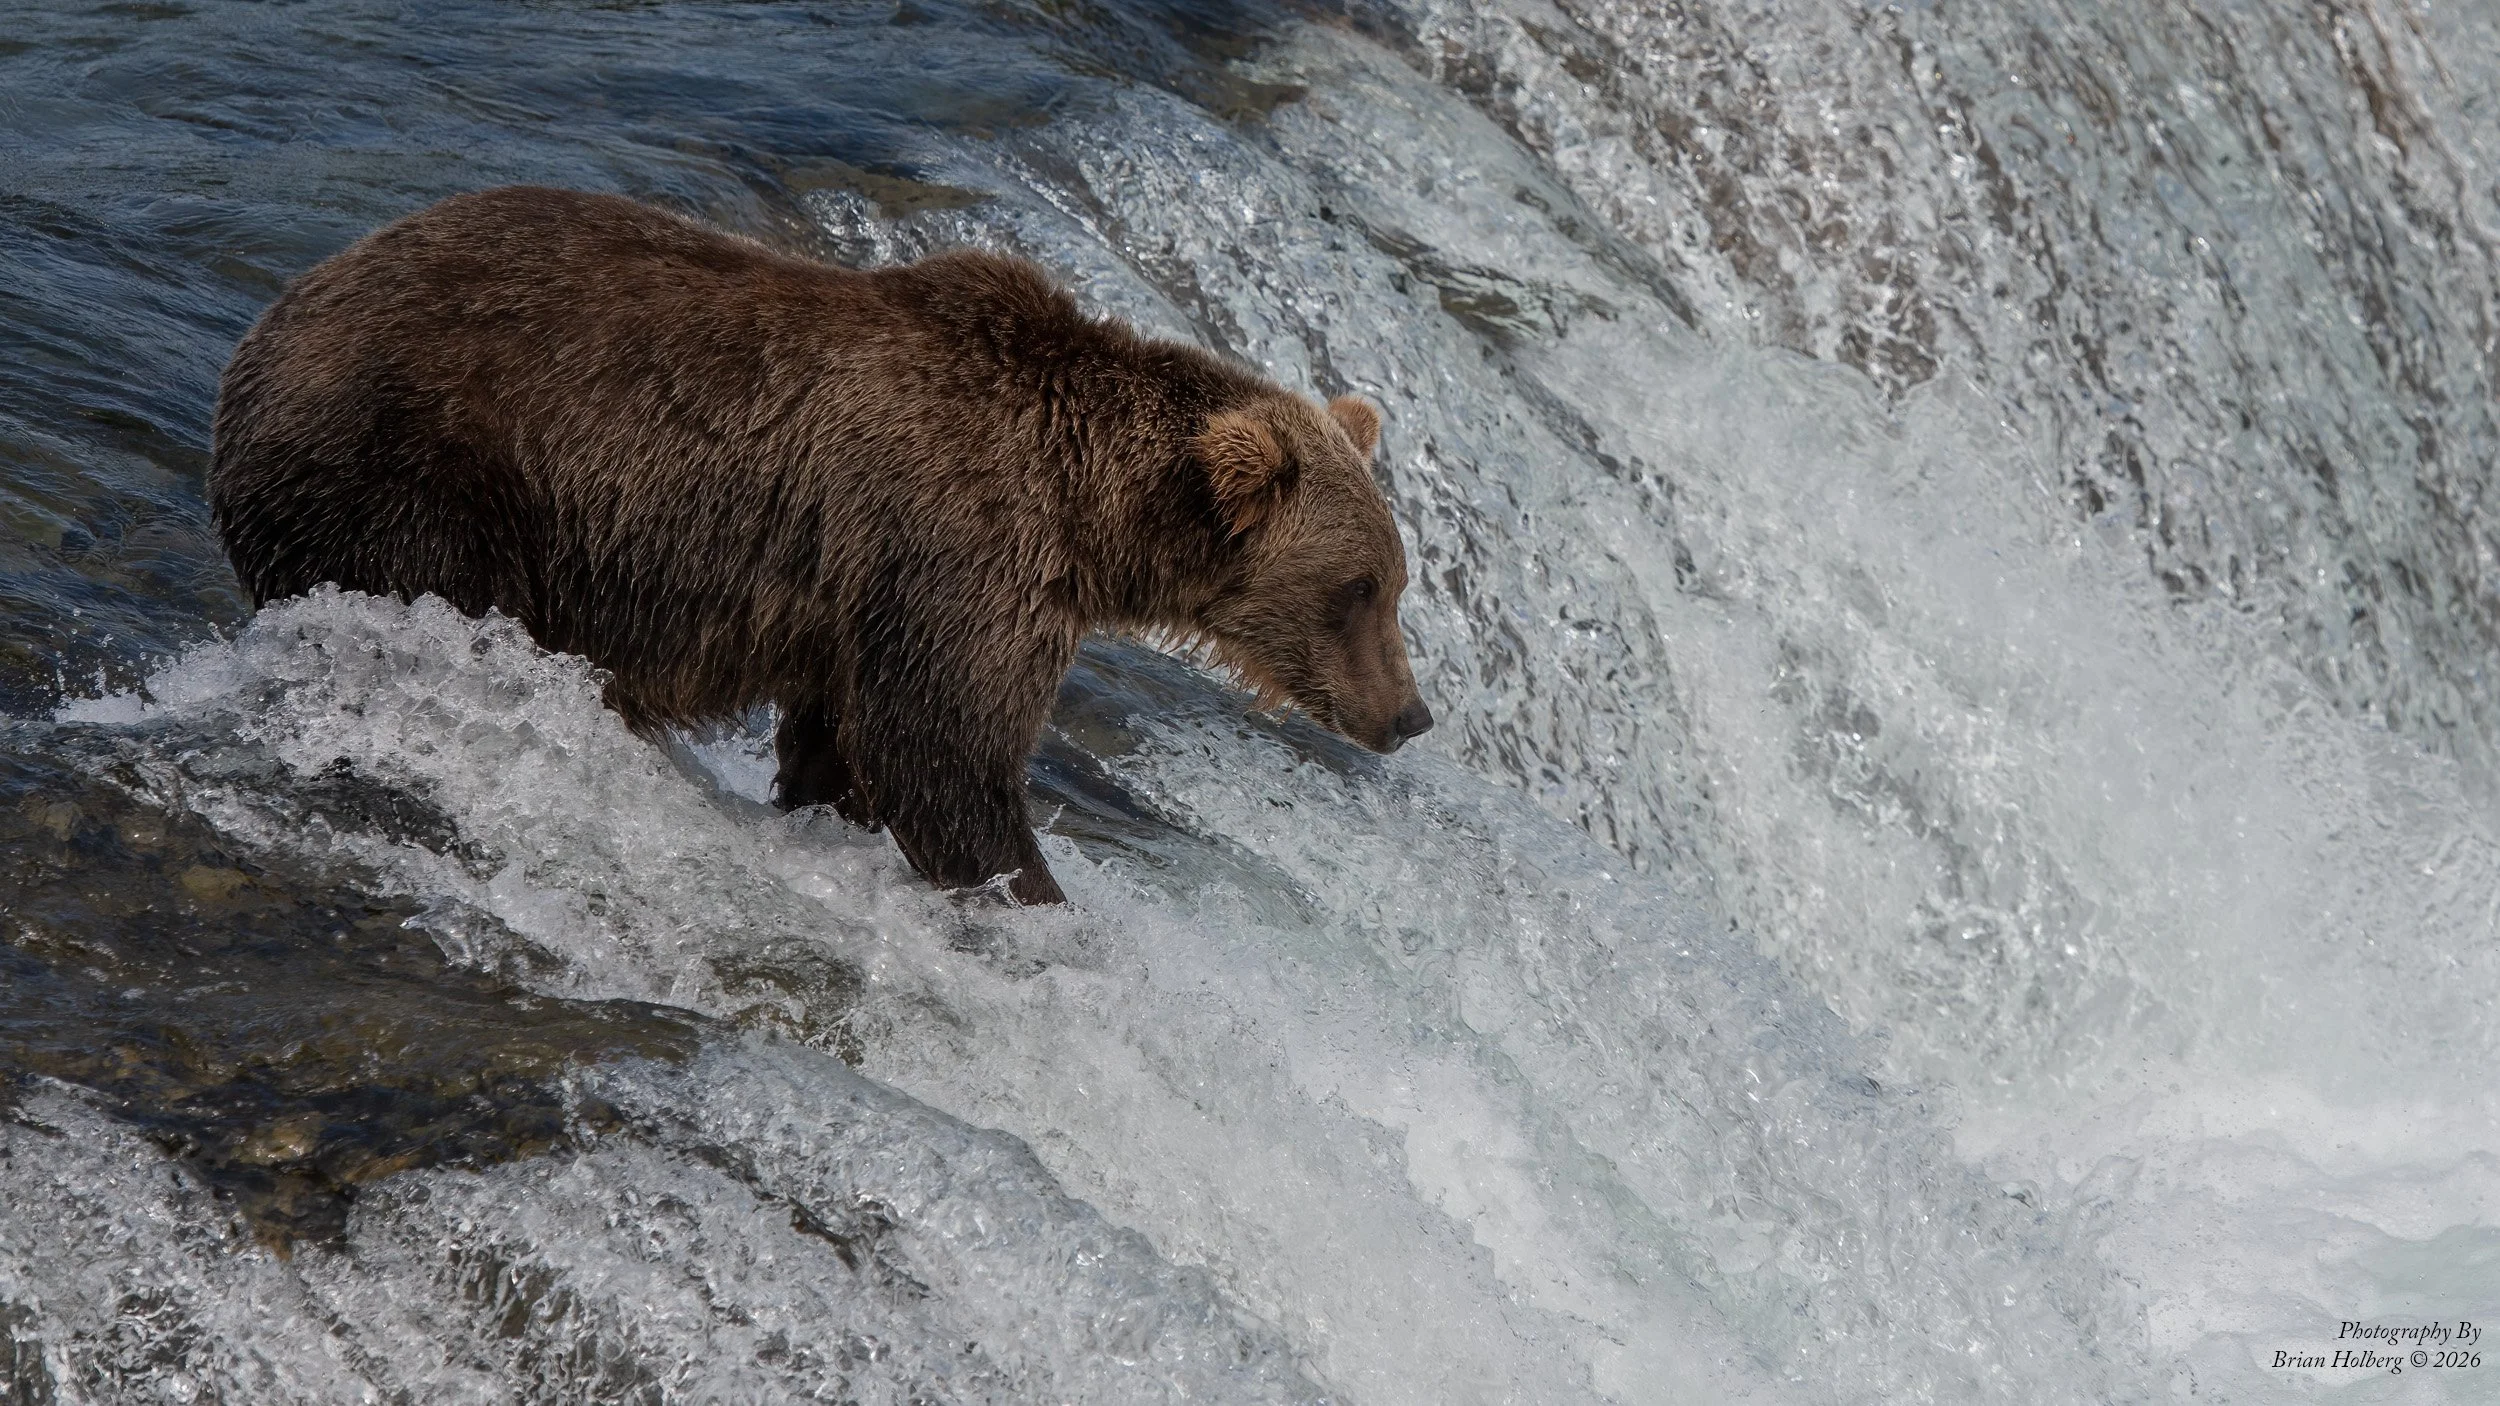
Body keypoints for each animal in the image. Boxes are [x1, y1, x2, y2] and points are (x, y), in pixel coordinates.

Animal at [209, 186, 1432, 905]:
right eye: (1360, 586)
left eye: (1395, 583)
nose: (1410, 714)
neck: (1089, 509)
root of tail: (265, 329)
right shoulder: (959, 550)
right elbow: (942, 753)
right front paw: (1031, 893)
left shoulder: (869, 599)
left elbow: (847, 744)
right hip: (426, 476)